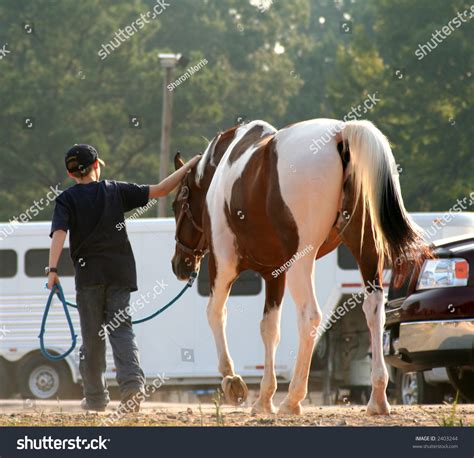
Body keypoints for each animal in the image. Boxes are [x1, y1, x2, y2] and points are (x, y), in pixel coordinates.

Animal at [171, 118, 434, 416]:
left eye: (177, 205)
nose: (179, 265)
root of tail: (341, 134)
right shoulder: (275, 274)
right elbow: (269, 328)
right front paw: (264, 397)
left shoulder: (223, 262)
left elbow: (215, 313)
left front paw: (232, 380)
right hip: (366, 249)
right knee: (374, 308)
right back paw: (377, 397)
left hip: (302, 260)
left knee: (310, 315)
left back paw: (293, 398)